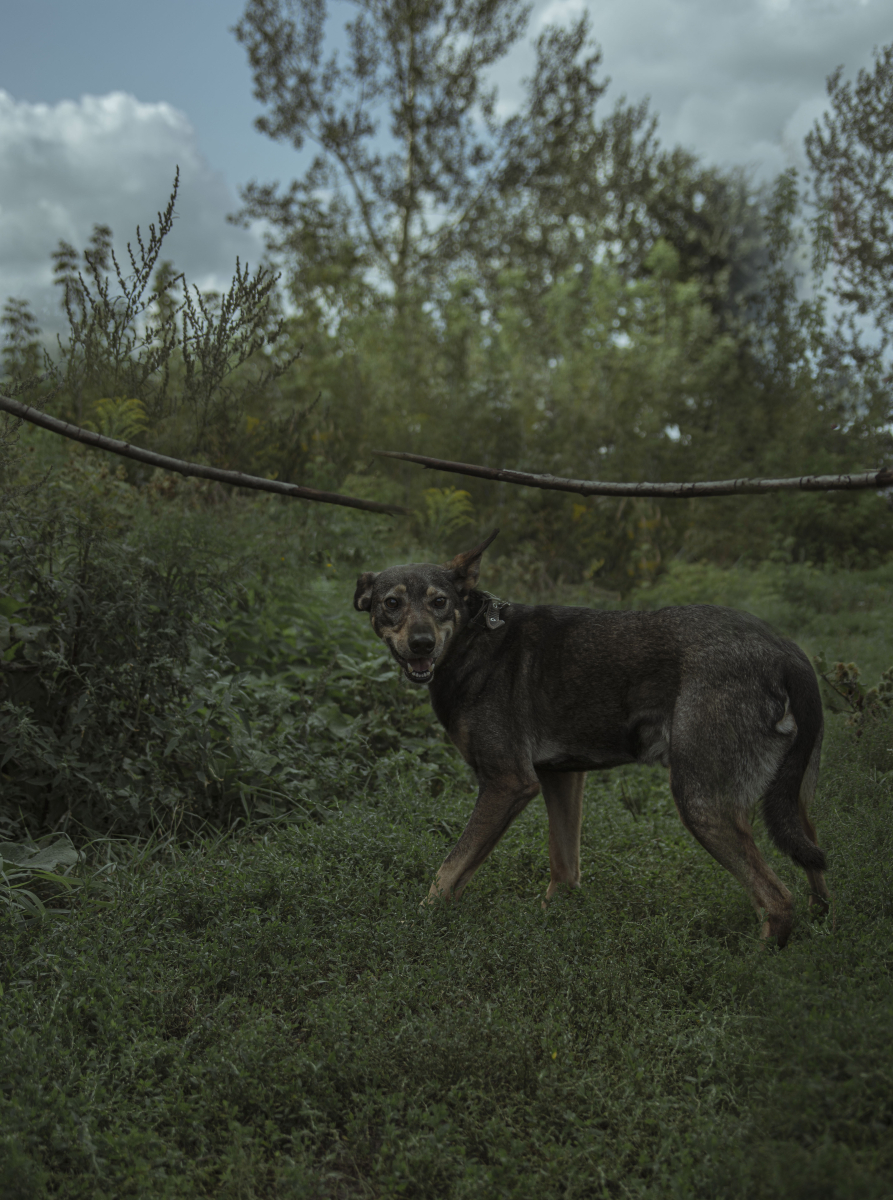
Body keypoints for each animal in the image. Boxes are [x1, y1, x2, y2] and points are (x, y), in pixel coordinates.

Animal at [355, 530, 830, 940]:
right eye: (392, 603)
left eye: (439, 602)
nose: (421, 644)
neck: (472, 637)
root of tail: (785, 652)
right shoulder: (560, 777)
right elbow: (563, 867)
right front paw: (552, 922)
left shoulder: (507, 783)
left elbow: (450, 869)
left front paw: (417, 927)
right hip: (793, 806)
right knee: (815, 872)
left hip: (702, 803)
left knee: (777, 901)